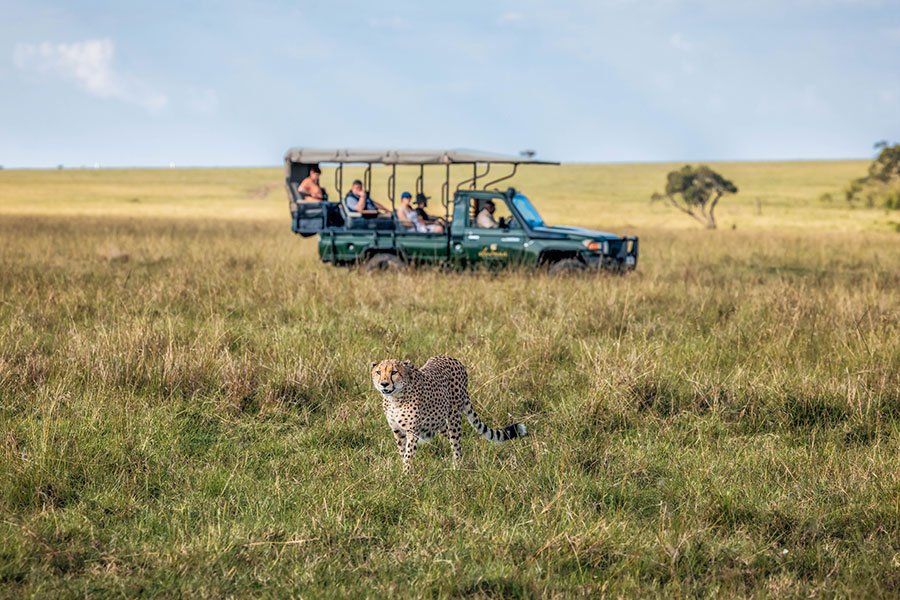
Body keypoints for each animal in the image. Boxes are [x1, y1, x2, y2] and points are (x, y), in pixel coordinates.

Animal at [370, 356, 528, 474]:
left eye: (394, 372)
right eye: (378, 372)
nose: (384, 384)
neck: (395, 399)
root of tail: (452, 358)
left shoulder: (412, 431)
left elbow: (408, 454)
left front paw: (406, 476)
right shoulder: (397, 430)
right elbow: (403, 452)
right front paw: (405, 474)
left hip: (454, 417)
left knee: (456, 444)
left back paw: (457, 469)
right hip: (439, 422)